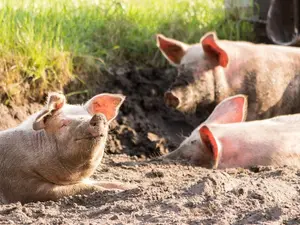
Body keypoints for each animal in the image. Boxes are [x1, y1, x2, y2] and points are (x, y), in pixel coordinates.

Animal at [0, 91, 134, 204]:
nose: (98, 116)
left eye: (87, 115)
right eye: (63, 124)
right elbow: (81, 188)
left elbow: (109, 183)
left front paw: (132, 187)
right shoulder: (22, 185)